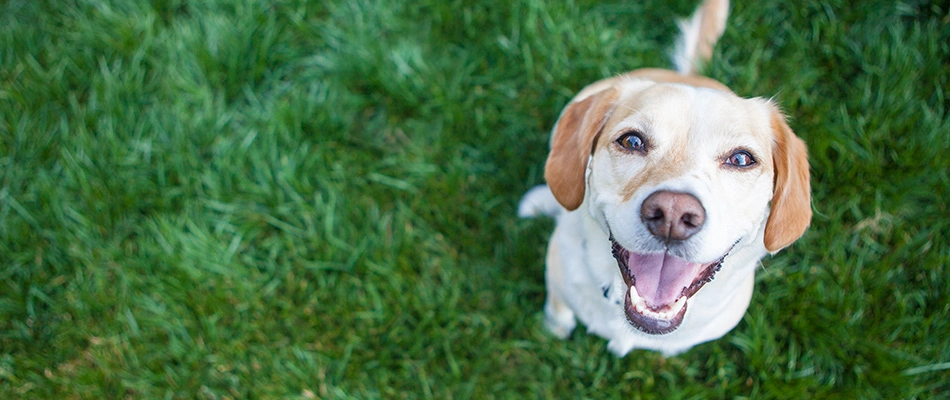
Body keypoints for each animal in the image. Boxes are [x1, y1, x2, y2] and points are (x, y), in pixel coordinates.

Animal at [516, 0, 816, 356]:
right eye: (632, 141)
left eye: (741, 159)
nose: (672, 214)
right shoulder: (559, 279)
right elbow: (559, 310)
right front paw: (554, 330)